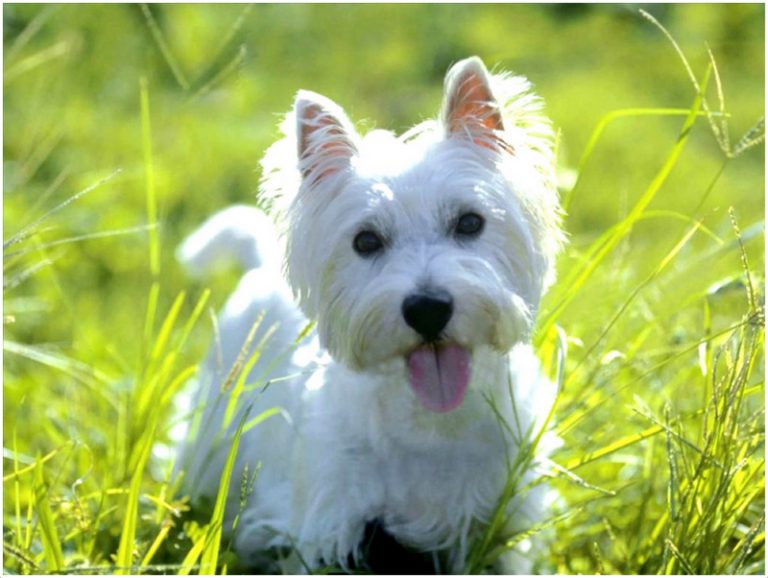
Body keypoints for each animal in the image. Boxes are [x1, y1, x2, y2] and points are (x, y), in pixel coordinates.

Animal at [178, 55, 564, 572]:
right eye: (365, 240)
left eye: (469, 222)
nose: (427, 309)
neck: (431, 425)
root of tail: (260, 263)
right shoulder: (328, 525)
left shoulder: (504, 521)